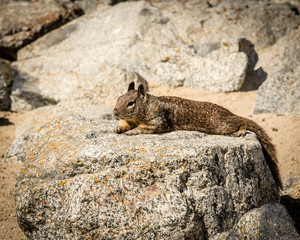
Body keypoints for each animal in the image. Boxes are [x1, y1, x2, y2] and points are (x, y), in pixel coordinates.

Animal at [113, 81, 282, 190]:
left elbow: (142, 128)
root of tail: (228, 112)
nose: (114, 111)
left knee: (240, 121)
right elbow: (125, 123)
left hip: (221, 125)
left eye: (131, 103)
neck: (148, 105)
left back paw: (240, 130)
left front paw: (131, 132)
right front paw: (118, 128)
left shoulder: (158, 122)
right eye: (118, 98)